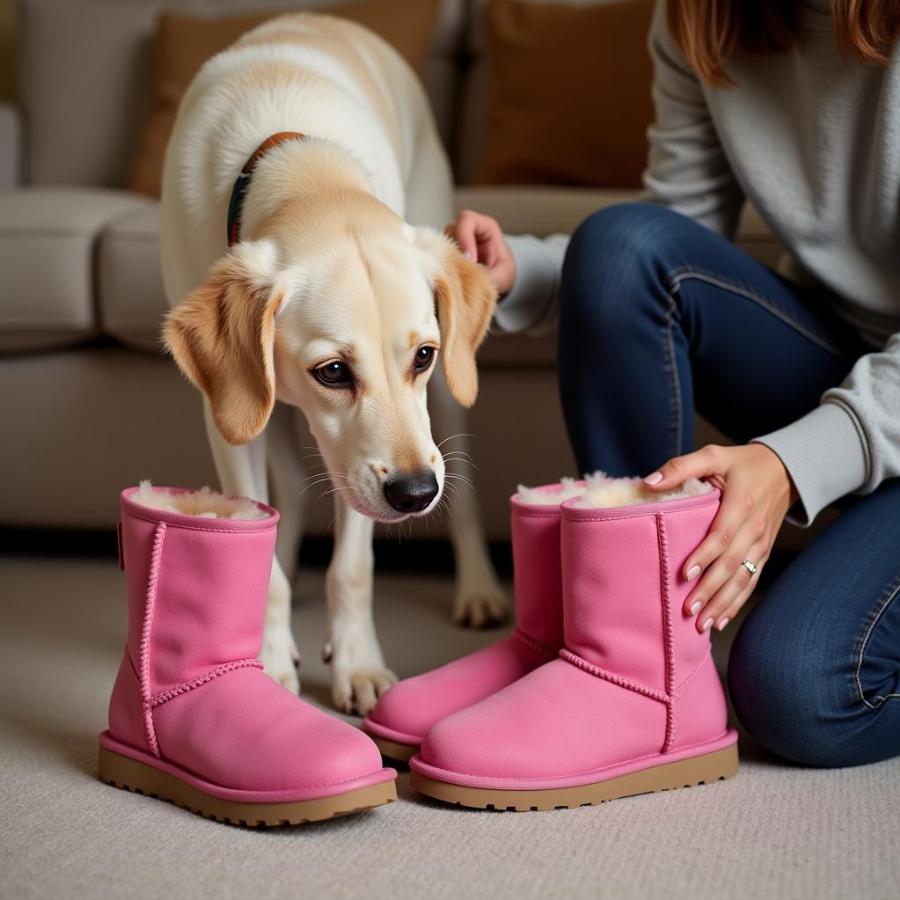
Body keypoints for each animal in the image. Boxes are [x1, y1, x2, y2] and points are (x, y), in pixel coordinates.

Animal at [160, 12, 506, 716]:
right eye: (334, 372)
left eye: (423, 356)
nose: (415, 494)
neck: (306, 174)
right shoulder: (230, 413)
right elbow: (259, 546)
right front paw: (267, 658)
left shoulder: (368, 470)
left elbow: (352, 569)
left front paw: (358, 666)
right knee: (289, 490)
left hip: (446, 406)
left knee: (465, 496)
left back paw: (479, 586)